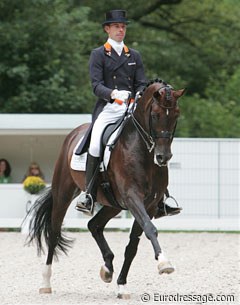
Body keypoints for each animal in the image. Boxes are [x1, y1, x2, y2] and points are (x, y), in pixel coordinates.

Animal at [27, 79, 185, 298]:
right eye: (155, 115)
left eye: (176, 114)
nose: (163, 157)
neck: (142, 150)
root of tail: (74, 134)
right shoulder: (132, 197)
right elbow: (150, 229)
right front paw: (164, 263)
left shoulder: (150, 204)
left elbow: (133, 245)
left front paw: (122, 285)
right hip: (63, 194)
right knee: (54, 232)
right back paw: (45, 283)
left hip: (112, 204)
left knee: (94, 225)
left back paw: (107, 268)